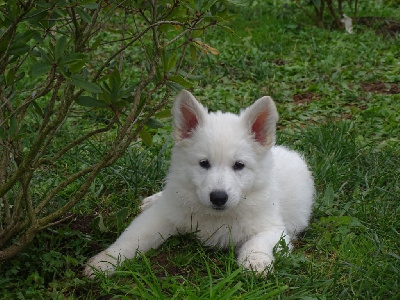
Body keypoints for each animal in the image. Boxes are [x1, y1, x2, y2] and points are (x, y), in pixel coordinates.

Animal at [83, 90, 316, 278]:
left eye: (239, 165)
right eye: (204, 163)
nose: (218, 197)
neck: (216, 216)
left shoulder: (274, 228)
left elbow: (258, 242)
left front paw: (255, 263)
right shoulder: (161, 216)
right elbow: (132, 238)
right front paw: (104, 262)